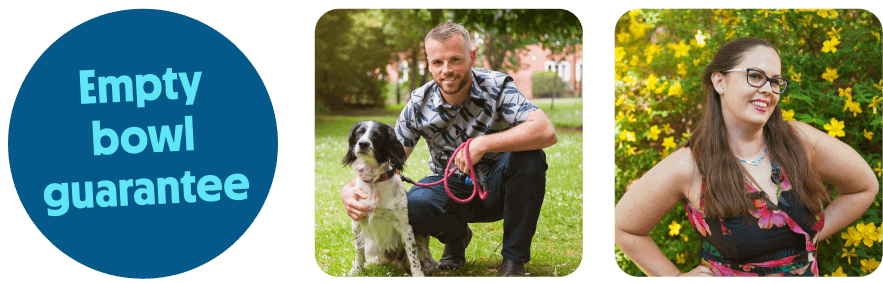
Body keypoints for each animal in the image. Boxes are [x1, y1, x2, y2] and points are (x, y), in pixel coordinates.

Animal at [342, 120, 438, 278]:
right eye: (359, 132)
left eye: (377, 135)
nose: (363, 143)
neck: (374, 181)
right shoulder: (357, 222)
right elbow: (359, 252)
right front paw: (357, 270)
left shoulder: (405, 227)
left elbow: (413, 256)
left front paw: (418, 274)